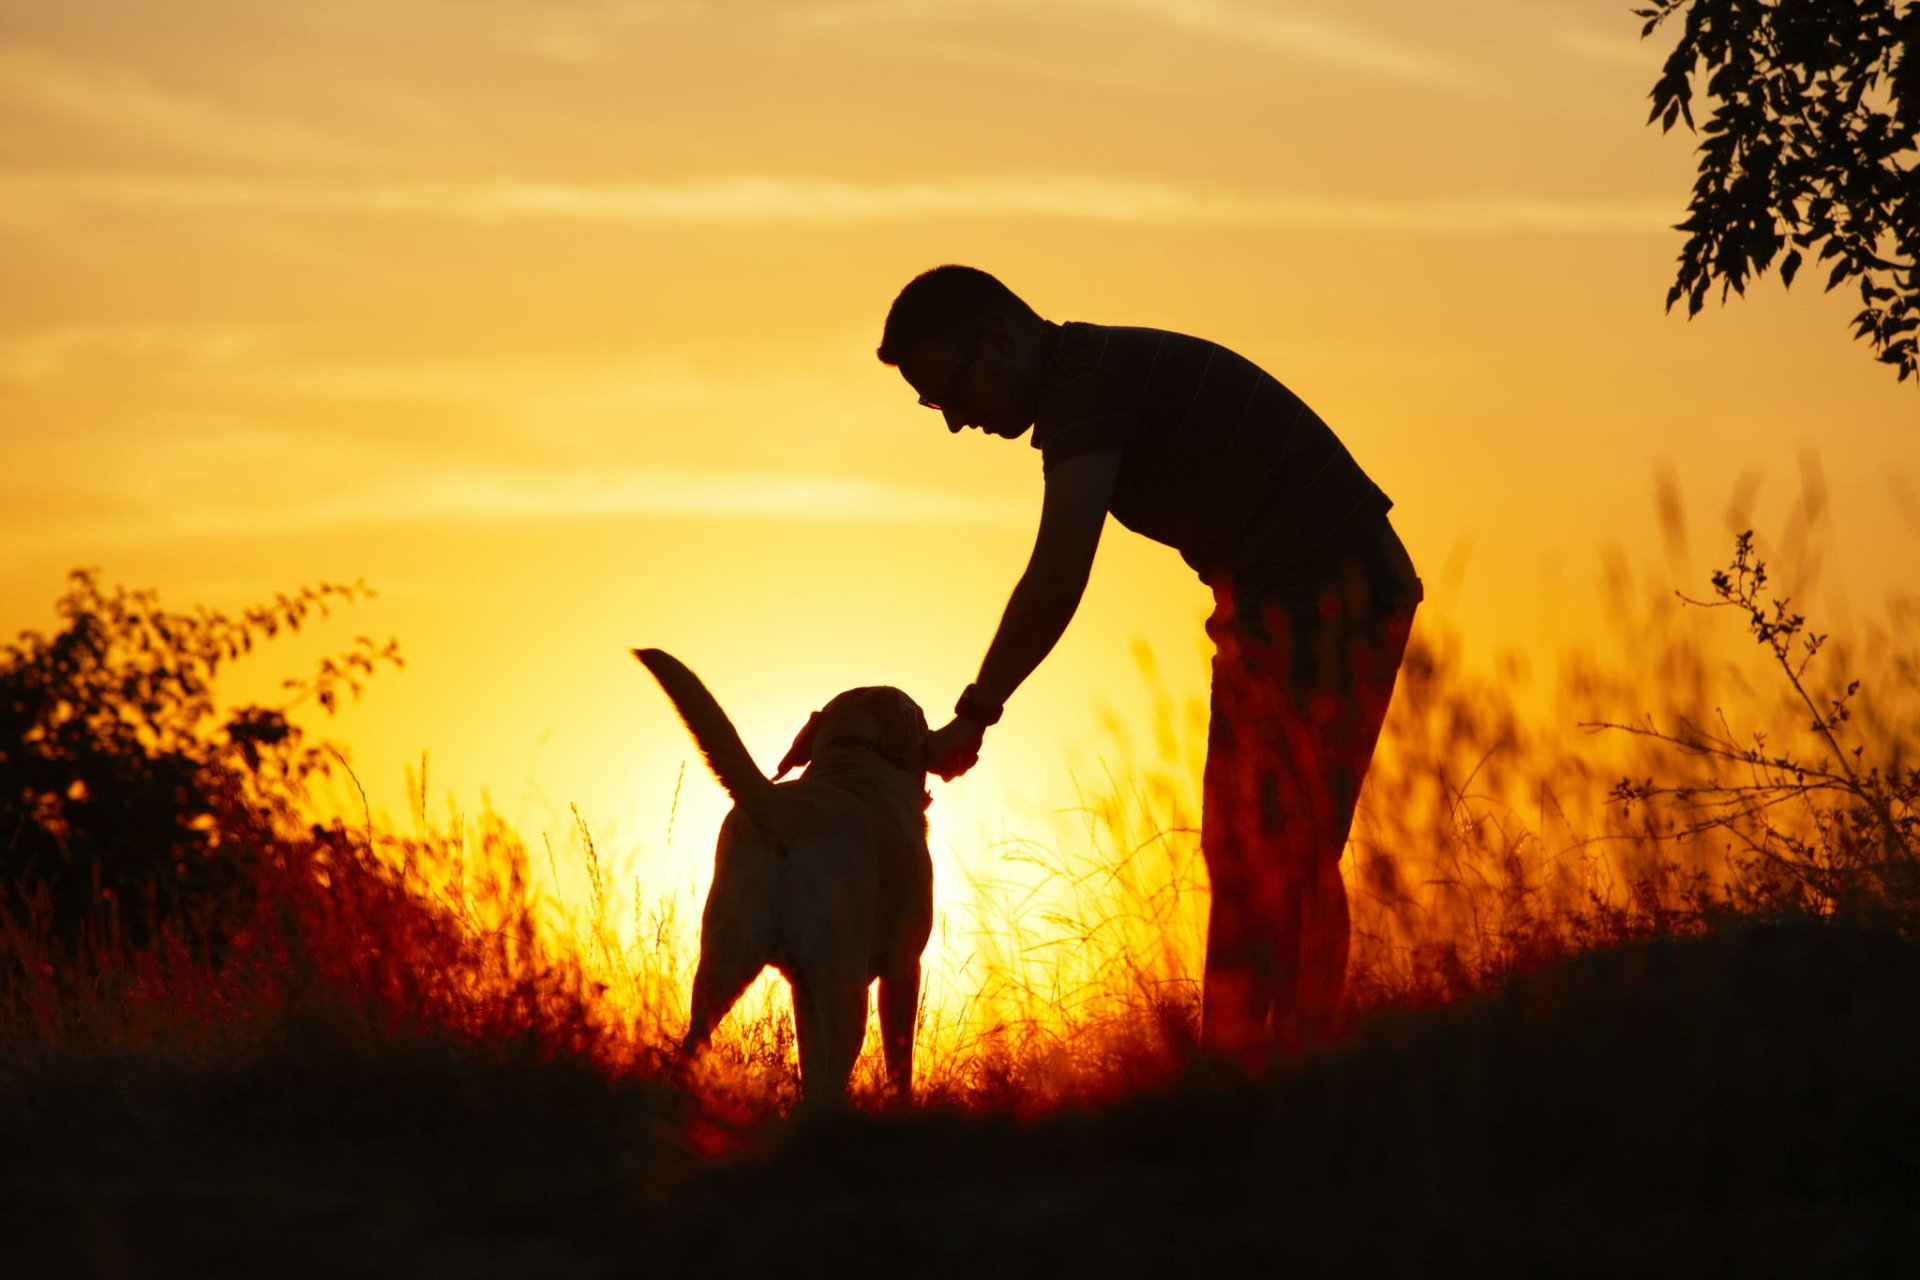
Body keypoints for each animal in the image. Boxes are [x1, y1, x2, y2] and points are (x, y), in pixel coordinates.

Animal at [637, 652, 936, 1105]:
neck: (852, 757)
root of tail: (782, 811)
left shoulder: (802, 988)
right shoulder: (902, 968)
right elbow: (898, 1064)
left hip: (723, 963)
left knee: (693, 1042)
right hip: (845, 987)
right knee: (832, 1079)